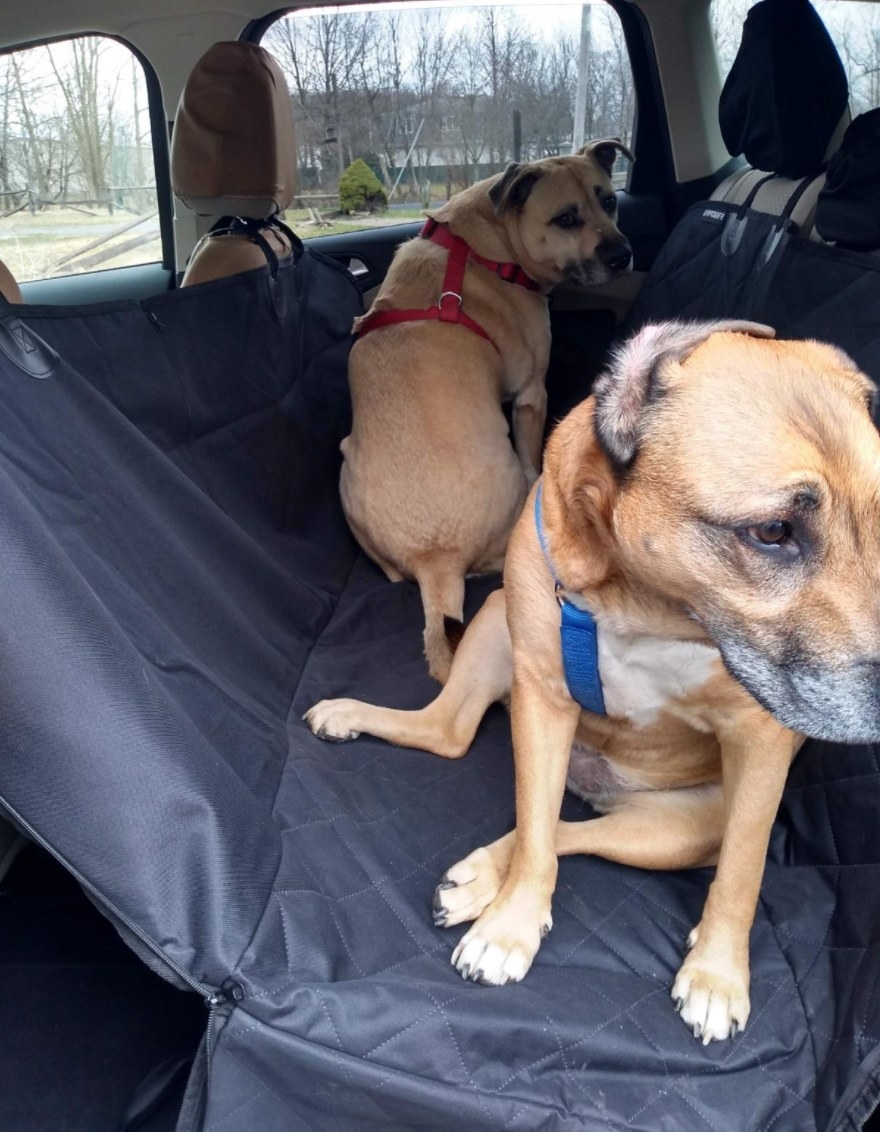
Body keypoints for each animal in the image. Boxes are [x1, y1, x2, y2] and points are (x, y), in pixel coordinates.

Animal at [308, 319, 880, 1041]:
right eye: (773, 531)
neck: (647, 604)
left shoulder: (761, 741)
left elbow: (742, 871)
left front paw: (718, 975)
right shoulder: (543, 694)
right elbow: (534, 835)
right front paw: (512, 926)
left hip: (678, 830)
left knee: (571, 830)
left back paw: (479, 876)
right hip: (497, 621)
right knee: (458, 740)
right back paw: (355, 720)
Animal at [337, 139, 629, 679]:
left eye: (609, 200)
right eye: (565, 218)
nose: (624, 255)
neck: (484, 247)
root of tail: (436, 559)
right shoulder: (531, 393)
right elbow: (532, 442)